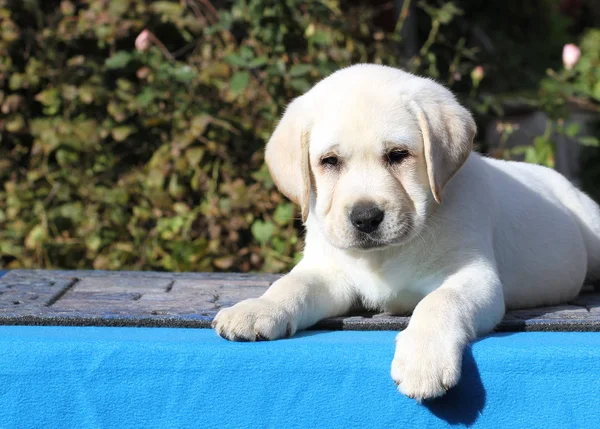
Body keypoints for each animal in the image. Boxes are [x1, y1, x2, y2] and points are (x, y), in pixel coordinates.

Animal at [212, 64, 600, 402]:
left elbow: (440, 301)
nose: (365, 218)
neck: (385, 255)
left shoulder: (474, 275)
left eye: (398, 155)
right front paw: (257, 308)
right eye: (329, 162)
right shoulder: (329, 271)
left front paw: (424, 360)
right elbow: (292, 285)